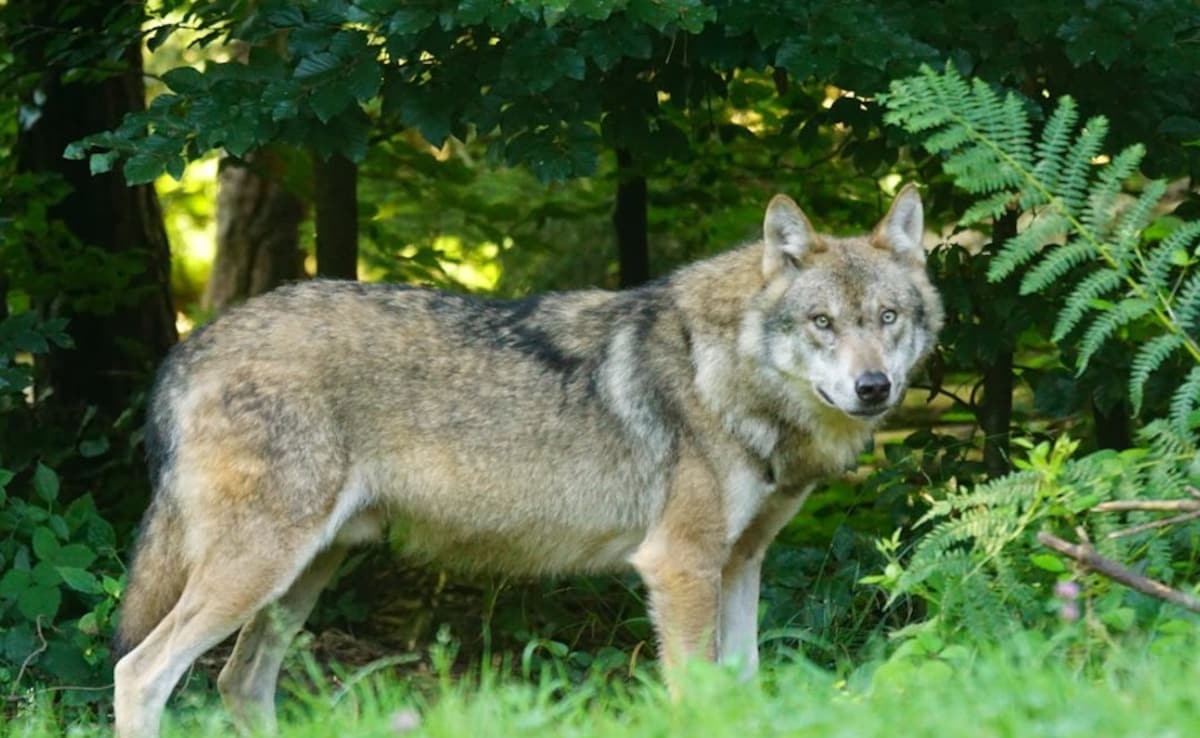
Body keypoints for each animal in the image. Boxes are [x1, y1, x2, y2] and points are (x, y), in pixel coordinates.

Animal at [111, 185, 942, 738]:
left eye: (887, 318)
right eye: (822, 323)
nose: (874, 387)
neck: (726, 372)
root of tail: (189, 346)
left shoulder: (740, 564)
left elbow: (743, 690)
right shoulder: (679, 566)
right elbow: (695, 697)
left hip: (301, 577)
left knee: (240, 684)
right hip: (259, 571)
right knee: (140, 672)